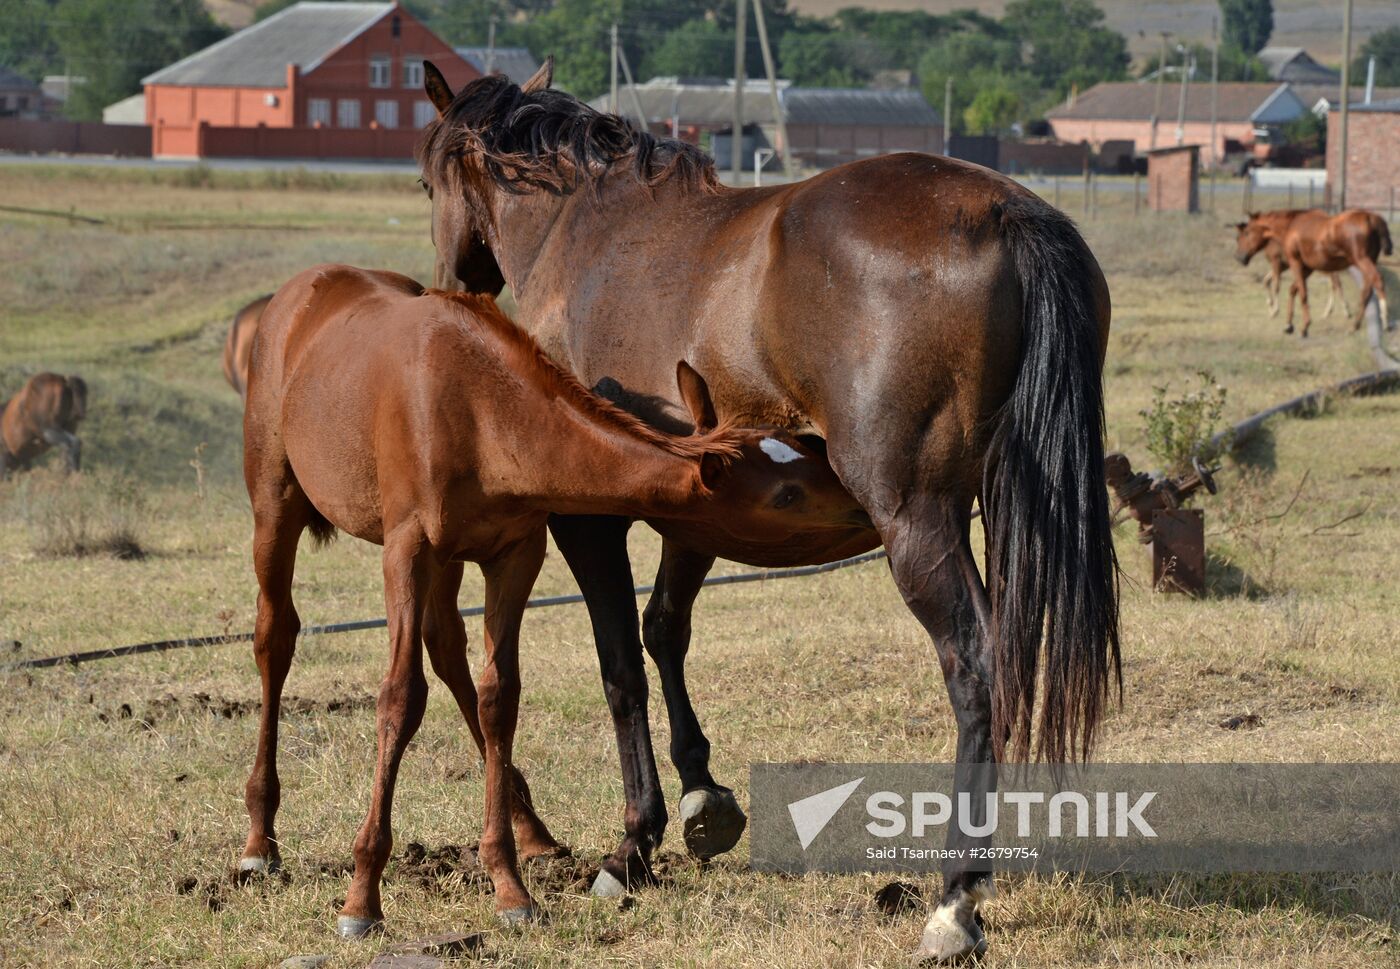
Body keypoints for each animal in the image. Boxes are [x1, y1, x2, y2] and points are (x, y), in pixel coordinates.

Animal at [235, 261, 856, 935]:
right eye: (787, 494)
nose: (861, 502)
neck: (474, 407)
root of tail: (298, 292)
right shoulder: (406, 549)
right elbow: (399, 698)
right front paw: (362, 894)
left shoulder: (515, 553)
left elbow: (499, 697)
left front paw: (508, 882)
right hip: (276, 508)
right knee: (275, 638)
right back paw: (259, 841)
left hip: (447, 564)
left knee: (447, 649)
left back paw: (531, 830)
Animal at [411, 62, 1114, 963]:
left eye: (427, 182)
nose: (452, 288)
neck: (584, 234)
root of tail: (1005, 213)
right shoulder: (698, 507)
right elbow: (664, 630)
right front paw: (703, 797)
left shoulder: (589, 520)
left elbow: (619, 665)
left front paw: (633, 845)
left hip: (918, 524)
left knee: (977, 664)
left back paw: (955, 898)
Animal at [1237, 208, 1388, 337]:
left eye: (1246, 233)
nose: (1240, 257)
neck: (1291, 226)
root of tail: (1372, 218)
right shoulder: (1308, 267)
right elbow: (1293, 290)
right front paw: (1288, 325)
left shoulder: (1295, 263)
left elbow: (1301, 293)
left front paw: (1304, 327)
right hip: (1368, 262)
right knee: (1366, 290)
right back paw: (1354, 326)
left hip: (1363, 261)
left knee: (1377, 280)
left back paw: (1384, 321)